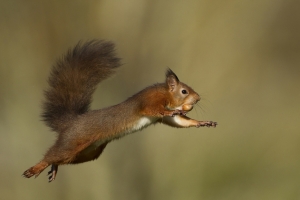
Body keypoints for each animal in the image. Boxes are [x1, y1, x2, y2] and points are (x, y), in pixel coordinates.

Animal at [22, 39, 217, 182]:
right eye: (184, 91)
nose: (198, 98)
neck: (166, 95)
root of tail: (71, 122)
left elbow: (178, 121)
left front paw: (202, 122)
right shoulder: (150, 101)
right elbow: (154, 110)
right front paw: (171, 111)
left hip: (87, 153)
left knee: (59, 160)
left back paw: (53, 169)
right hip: (73, 142)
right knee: (52, 155)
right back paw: (35, 168)